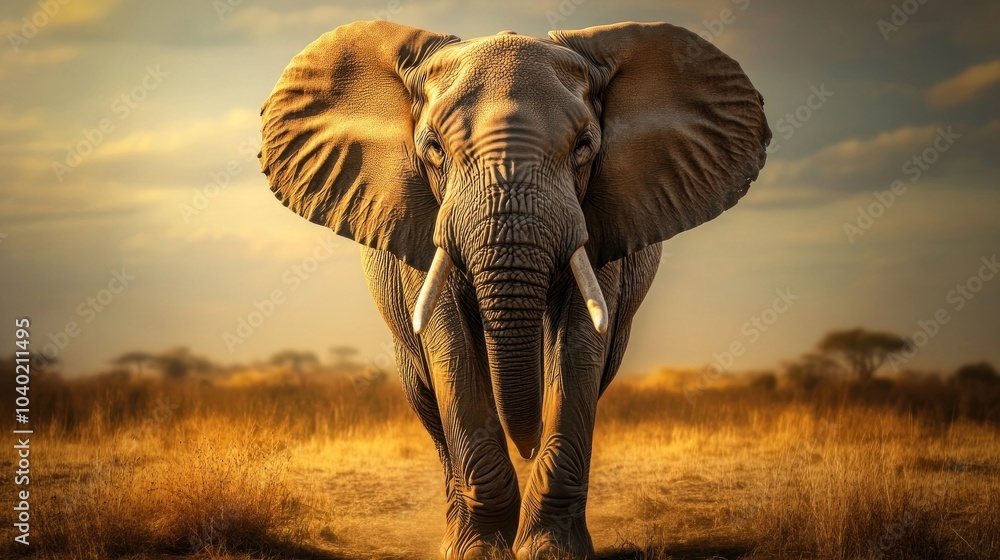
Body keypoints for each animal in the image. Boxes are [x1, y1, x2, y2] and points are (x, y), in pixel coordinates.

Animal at [258, 20, 770, 559]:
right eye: (433, 149)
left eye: (584, 146)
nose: (525, 443)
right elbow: (451, 346)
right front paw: (480, 552)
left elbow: (578, 347)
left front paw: (551, 551)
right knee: (427, 400)